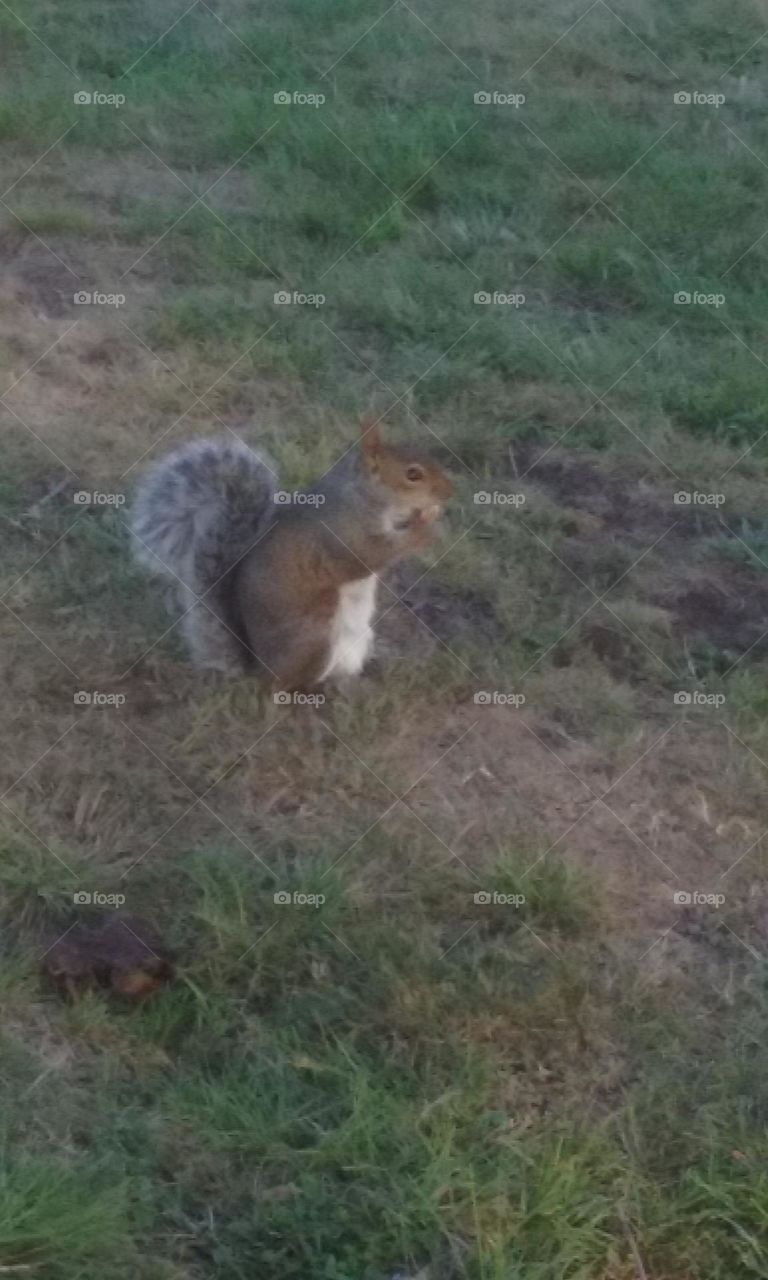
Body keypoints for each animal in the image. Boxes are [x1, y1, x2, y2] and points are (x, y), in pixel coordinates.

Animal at [130, 422, 454, 690]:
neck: (361, 495)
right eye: (413, 474)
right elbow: (371, 555)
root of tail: (259, 670)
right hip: (315, 636)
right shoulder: (344, 535)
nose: (449, 492)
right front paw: (427, 527)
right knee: (291, 686)